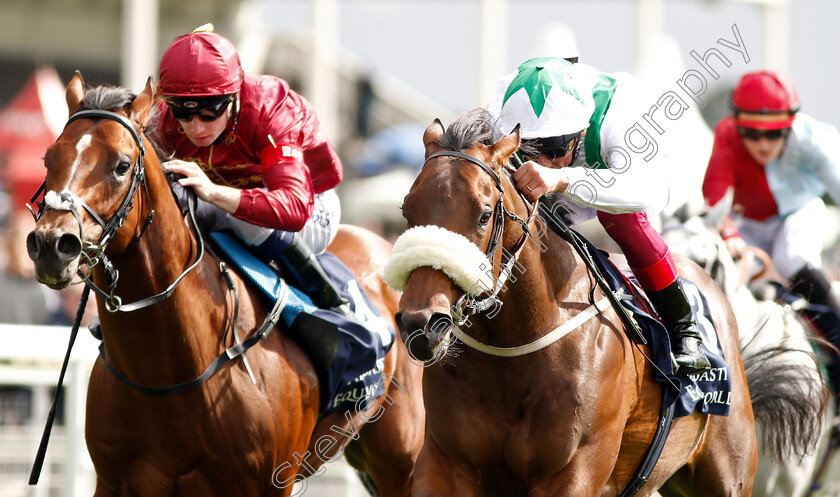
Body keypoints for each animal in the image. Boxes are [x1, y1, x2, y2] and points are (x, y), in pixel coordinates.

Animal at [27, 71, 426, 494]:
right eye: (48, 158)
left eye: (121, 165)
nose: (52, 244)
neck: (170, 376)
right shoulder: (115, 480)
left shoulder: (270, 483)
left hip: (401, 459)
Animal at [384, 109, 796, 496]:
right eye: (407, 210)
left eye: (485, 214)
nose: (422, 323)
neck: (514, 347)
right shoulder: (445, 464)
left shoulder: (572, 474)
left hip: (728, 476)